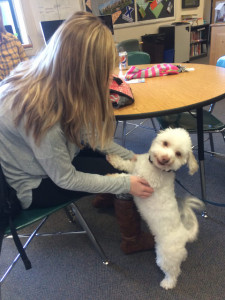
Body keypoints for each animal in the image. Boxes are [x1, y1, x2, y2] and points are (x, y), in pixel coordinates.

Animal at [107, 127, 204, 290]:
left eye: (178, 154)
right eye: (165, 143)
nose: (165, 158)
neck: (155, 168)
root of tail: (184, 233)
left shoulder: (142, 182)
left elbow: (126, 178)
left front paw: (113, 177)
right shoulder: (135, 166)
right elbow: (126, 165)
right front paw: (113, 158)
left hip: (165, 255)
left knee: (173, 271)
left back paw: (168, 283)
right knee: (181, 258)